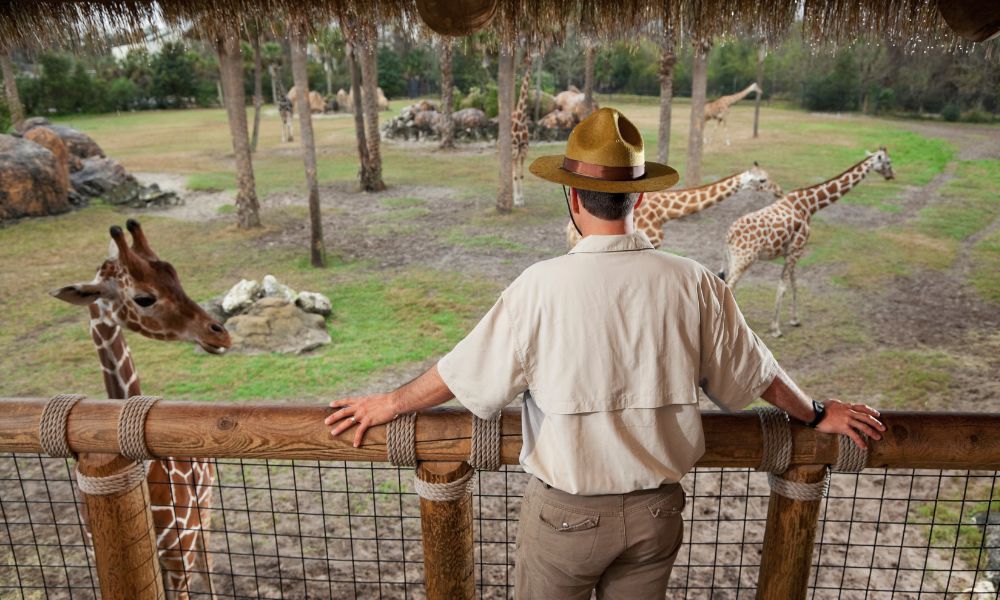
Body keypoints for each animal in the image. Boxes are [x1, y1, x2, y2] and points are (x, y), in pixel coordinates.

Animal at [52, 221, 230, 600]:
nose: (220, 334)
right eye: (144, 298)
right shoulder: (105, 556)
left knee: (208, 565)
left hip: (204, 514)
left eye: (177, 277)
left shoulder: (179, 553)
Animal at [720, 148, 900, 338]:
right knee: (729, 285)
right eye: (888, 162)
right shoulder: (797, 249)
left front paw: (795, 320)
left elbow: (794, 284)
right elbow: (783, 286)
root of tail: (728, 235)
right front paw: (776, 328)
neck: (810, 205)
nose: (892, 175)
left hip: (733, 259)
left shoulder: (791, 251)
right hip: (744, 260)